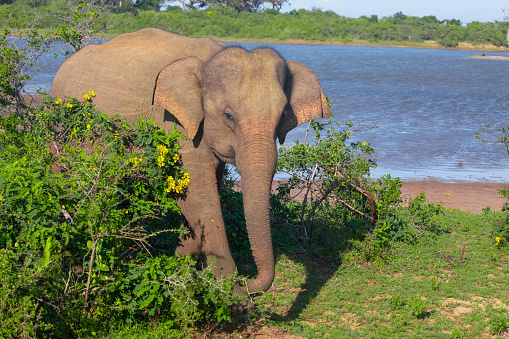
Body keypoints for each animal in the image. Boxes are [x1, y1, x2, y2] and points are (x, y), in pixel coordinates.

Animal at [51, 27, 330, 294]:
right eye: (228, 115)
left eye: (282, 115)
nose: (247, 283)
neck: (208, 60)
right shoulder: (174, 122)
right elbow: (198, 195)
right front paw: (222, 284)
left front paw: (179, 264)